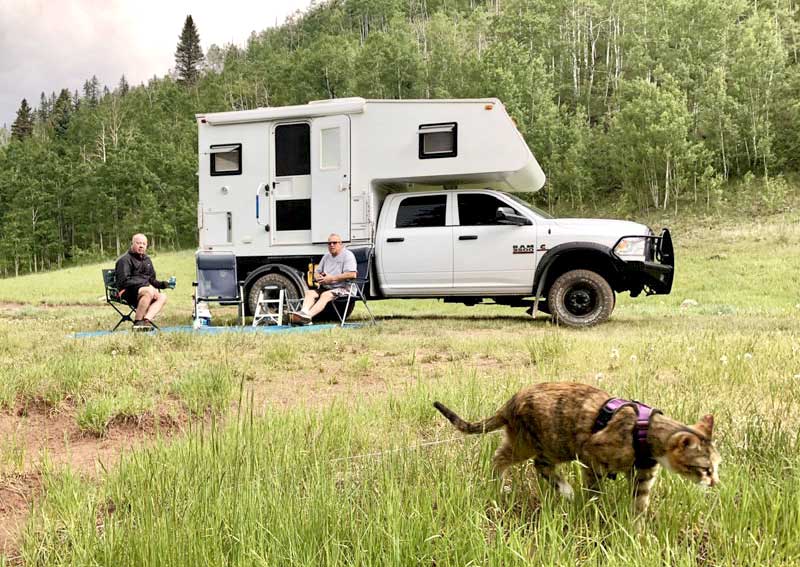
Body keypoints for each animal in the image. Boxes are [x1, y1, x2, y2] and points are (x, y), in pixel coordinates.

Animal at [434, 382, 720, 520]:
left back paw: (562, 490)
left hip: (547, 445)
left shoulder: (643, 474)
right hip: (540, 443)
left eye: (716, 468)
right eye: (705, 469)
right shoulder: (590, 456)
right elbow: (595, 492)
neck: (644, 430)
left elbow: (640, 504)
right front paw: (595, 511)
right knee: (504, 459)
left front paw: (636, 530)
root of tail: (510, 402)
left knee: (538, 465)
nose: (716, 483)